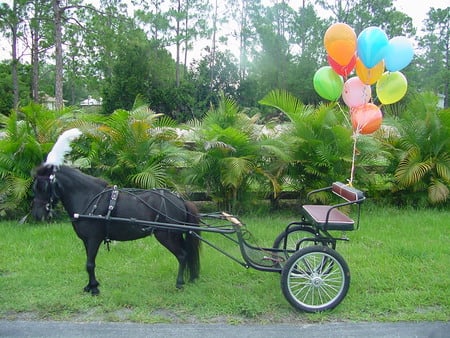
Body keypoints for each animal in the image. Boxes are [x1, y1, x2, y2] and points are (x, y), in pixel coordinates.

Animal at [30, 165, 200, 294]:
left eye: (44, 186)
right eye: (35, 187)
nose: (37, 214)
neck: (89, 198)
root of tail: (180, 200)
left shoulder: (94, 239)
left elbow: (90, 264)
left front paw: (94, 289)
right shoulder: (86, 240)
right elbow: (89, 264)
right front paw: (90, 286)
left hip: (166, 236)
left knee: (182, 255)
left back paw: (179, 283)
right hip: (175, 235)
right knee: (186, 254)